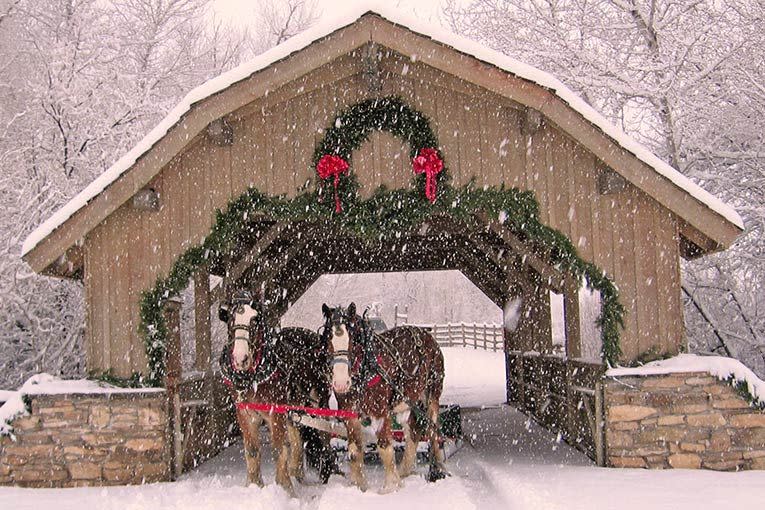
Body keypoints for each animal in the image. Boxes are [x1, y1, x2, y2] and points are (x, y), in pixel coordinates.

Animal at [216, 290, 332, 494]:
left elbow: (279, 448)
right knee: (296, 436)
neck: (252, 377)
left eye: (255, 320)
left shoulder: (275, 411)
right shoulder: (244, 412)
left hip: (319, 401)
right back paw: (297, 472)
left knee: (323, 432)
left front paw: (284, 487)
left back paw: (325, 471)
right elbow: (253, 450)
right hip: (294, 406)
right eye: (230, 319)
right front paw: (254, 484)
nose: (240, 358)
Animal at [318, 302, 448, 494]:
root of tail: (426, 335)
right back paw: (405, 470)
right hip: (410, 399)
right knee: (414, 430)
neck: (365, 369)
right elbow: (354, 450)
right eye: (328, 339)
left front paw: (390, 486)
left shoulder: (379, 412)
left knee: (432, 430)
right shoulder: (350, 413)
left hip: (432, 394)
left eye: (353, 340)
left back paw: (437, 469)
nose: (340, 383)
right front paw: (359, 486)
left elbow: (385, 447)